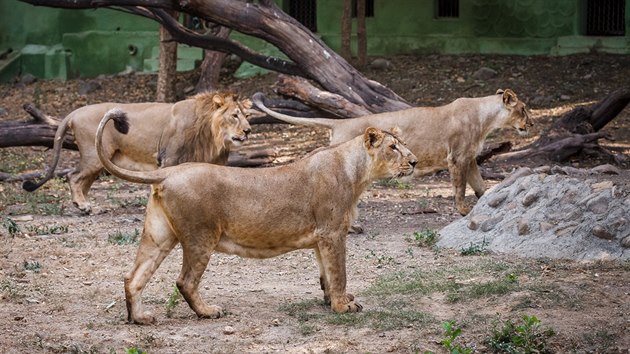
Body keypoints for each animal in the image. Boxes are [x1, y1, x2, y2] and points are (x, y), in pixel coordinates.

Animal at [23, 91, 253, 213]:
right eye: (234, 115)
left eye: (247, 115)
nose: (248, 130)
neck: (212, 136)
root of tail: (75, 112)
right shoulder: (169, 159)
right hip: (93, 155)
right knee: (73, 176)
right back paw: (83, 205)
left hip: (100, 159)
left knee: (82, 181)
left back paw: (87, 206)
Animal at [95, 108, 420, 324]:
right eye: (393, 147)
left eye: (404, 146)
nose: (415, 161)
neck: (356, 172)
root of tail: (169, 172)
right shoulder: (332, 232)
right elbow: (339, 272)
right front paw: (343, 307)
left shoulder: (321, 237)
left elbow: (326, 273)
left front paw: (331, 301)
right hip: (201, 236)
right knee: (185, 281)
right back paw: (208, 311)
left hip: (159, 235)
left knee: (133, 277)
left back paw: (139, 318)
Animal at [252, 90, 532, 214]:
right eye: (524, 108)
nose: (531, 124)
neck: (486, 119)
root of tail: (339, 123)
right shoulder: (457, 158)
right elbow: (460, 187)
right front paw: (463, 211)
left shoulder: (471, 159)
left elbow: (481, 186)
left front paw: (485, 203)